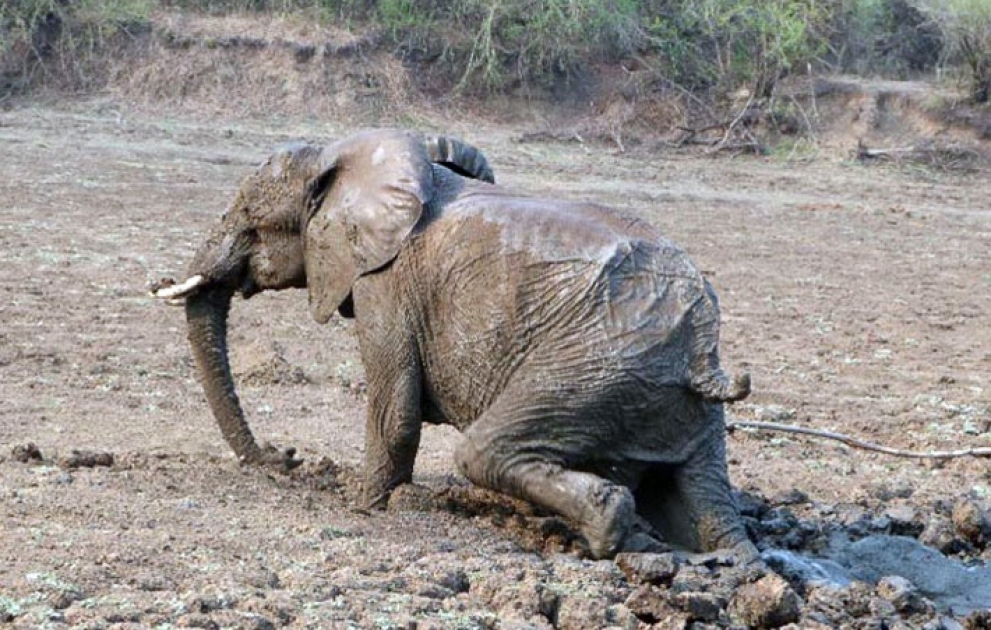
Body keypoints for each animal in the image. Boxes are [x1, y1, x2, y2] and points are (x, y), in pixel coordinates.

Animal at [152, 128, 757, 561]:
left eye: (248, 218)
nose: (285, 458)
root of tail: (702, 351)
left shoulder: (386, 282)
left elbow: (394, 414)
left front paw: (364, 507)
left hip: (598, 365)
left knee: (483, 451)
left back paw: (604, 532)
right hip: (673, 399)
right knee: (703, 500)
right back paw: (731, 566)